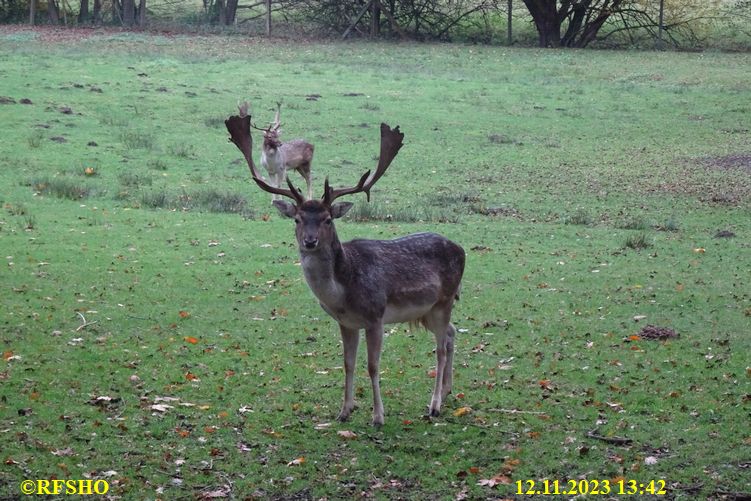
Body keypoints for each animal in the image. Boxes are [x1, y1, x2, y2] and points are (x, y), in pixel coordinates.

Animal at [226, 111, 468, 424]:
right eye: (297, 219)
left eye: (328, 219)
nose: (310, 241)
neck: (342, 294)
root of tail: (461, 249)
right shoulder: (346, 322)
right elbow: (348, 364)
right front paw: (344, 411)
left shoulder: (375, 316)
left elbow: (373, 366)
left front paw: (378, 417)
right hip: (427, 311)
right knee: (451, 332)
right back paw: (448, 391)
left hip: (444, 300)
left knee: (439, 348)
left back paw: (434, 405)